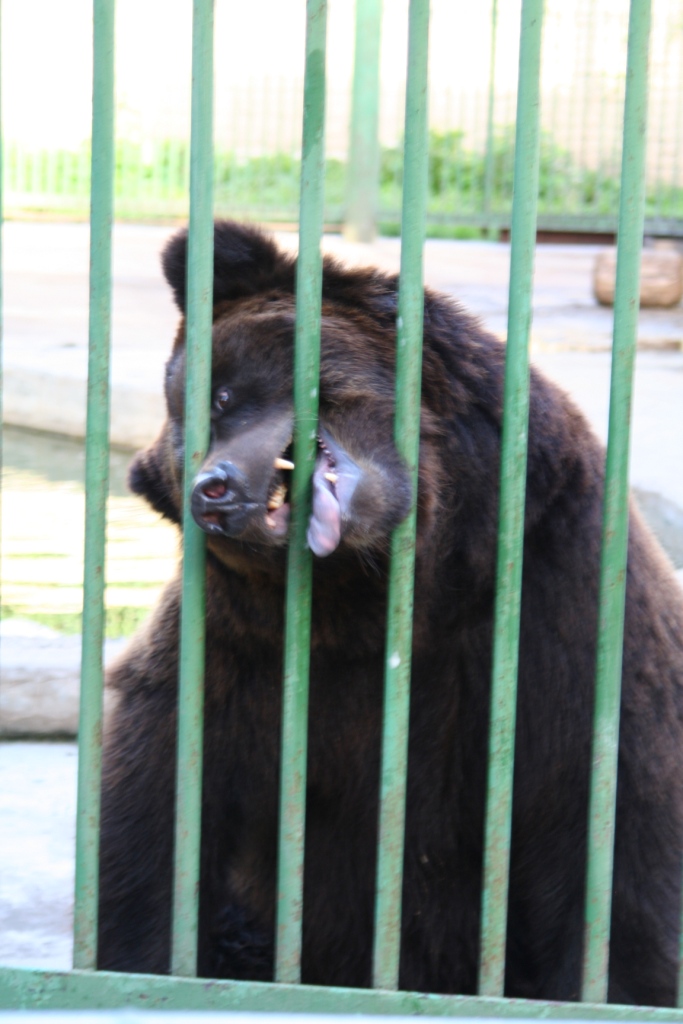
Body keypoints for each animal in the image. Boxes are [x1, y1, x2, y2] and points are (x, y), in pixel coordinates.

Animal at [97, 220, 683, 1006]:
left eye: (220, 394)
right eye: (181, 439)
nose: (212, 491)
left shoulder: (559, 610)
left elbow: (614, 863)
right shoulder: (231, 668)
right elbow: (154, 849)